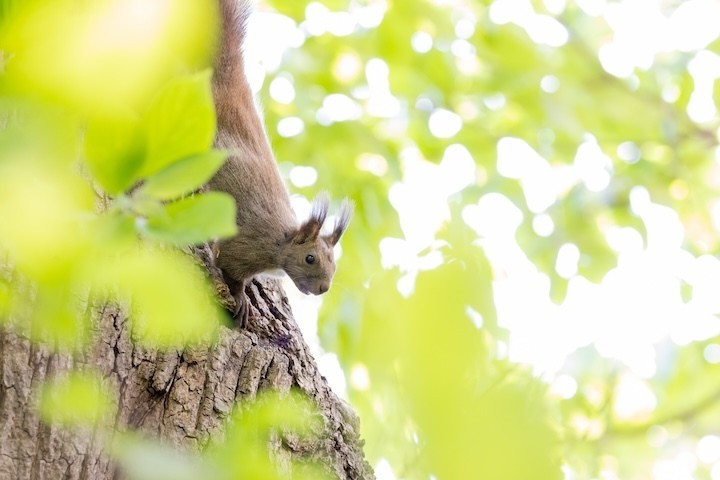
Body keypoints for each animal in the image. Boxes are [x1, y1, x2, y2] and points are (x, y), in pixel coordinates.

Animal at [207, 0, 352, 326]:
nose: (323, 288)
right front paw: (241, 300)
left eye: (335, 265)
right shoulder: (247, 247)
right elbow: (230, 269)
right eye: (310, 258)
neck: (283, 241)